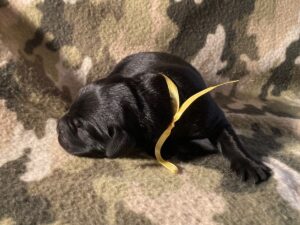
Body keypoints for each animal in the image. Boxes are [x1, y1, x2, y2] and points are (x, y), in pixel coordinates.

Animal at [57, 51, 270, 184]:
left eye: (80, 127)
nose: (58, 125)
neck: (142, 99)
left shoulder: (212, 117)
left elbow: (231, 140)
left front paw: (249, 165)